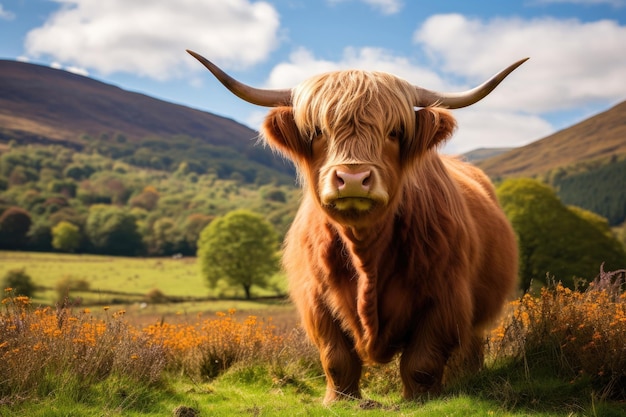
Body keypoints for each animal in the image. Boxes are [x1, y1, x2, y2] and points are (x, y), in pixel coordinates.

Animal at [188, 50, 520, 402]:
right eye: (318, 131)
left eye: (394, 132)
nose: (352, 178)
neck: (366, 256)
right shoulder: (316, 300)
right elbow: (337, 359)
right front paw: (339, 400)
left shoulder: (445, 299)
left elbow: (422, 362)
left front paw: (421, 400)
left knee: (469, 347)